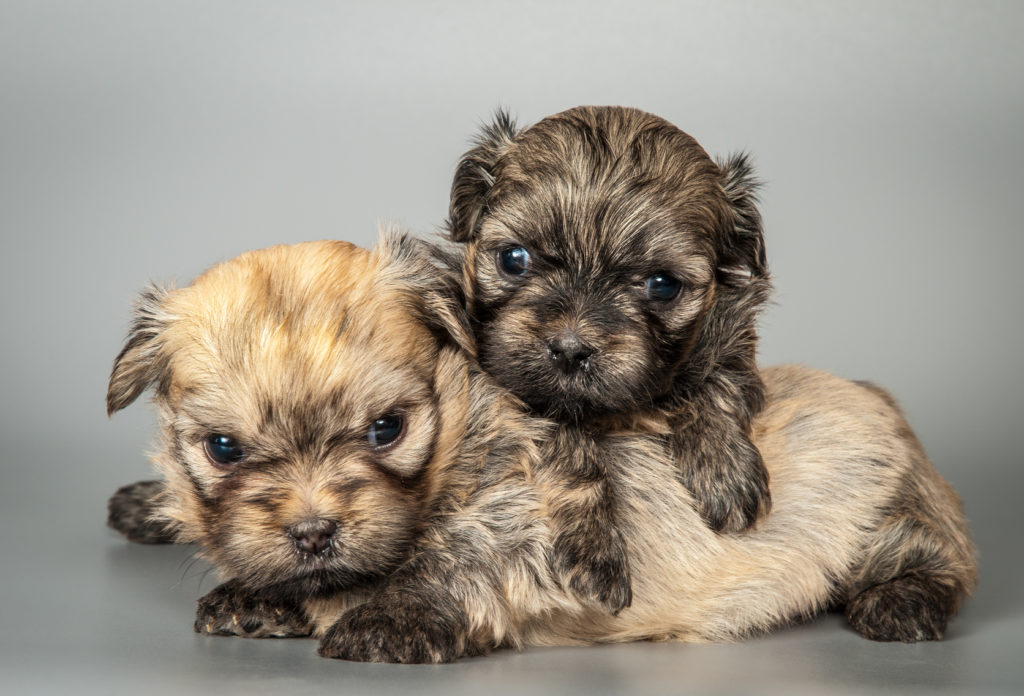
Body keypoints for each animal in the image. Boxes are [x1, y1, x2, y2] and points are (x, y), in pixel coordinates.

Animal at [108, 235, 978, 663]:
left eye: (387, 430)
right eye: (224, 448)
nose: (314, 532)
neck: (459, 430)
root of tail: (883, 402)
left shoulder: (520, 523)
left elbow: (445, 561)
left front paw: (381, 615)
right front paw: (232, 569)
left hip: (885, 509)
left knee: (938, 563)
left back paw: (902, 603)